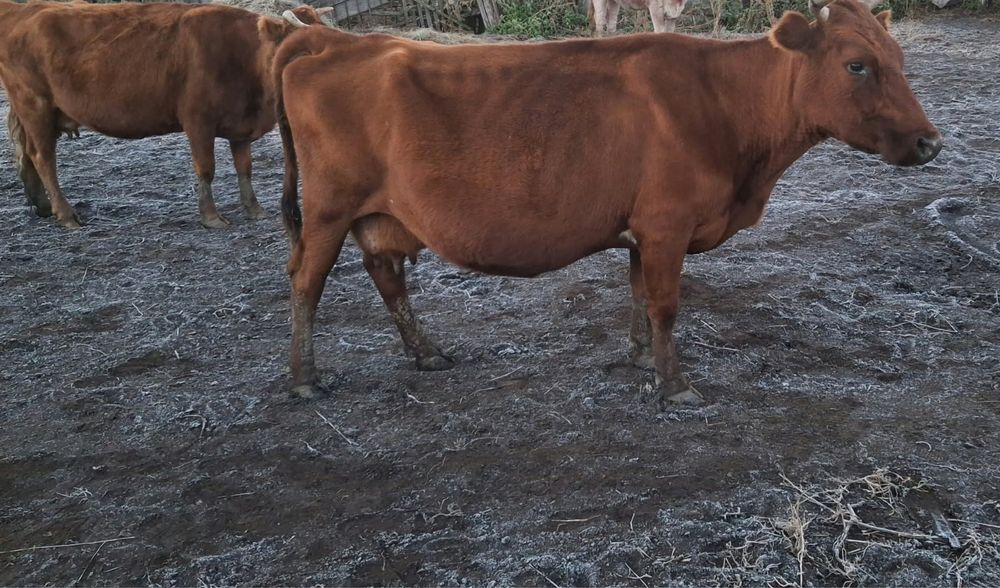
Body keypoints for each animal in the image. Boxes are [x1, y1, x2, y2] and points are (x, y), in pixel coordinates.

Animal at [0, 1, 331, 229]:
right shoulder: (198, 121)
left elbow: (244, 168)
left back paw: (43, 206)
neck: (242, 55)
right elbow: (206, 168)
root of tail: (24, 10)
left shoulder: (240, 125)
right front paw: (210, 216)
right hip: (35, 105)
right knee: (43, 158)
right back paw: (66, 214)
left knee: (27, 154)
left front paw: (253, 209)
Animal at [272, 0, 942, 407]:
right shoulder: (668, 224)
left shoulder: (642, 230)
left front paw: (643, 358)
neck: (723, 102)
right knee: (306, 280)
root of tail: (329, 38)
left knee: (385, 274)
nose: (930, 142)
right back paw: (305, 379)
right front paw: (675, 384)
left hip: (380, 214)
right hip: (329, 208)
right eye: (857, 65)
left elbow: (640, 296)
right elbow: (667, 304)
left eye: (900, 60)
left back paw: (427, 354)